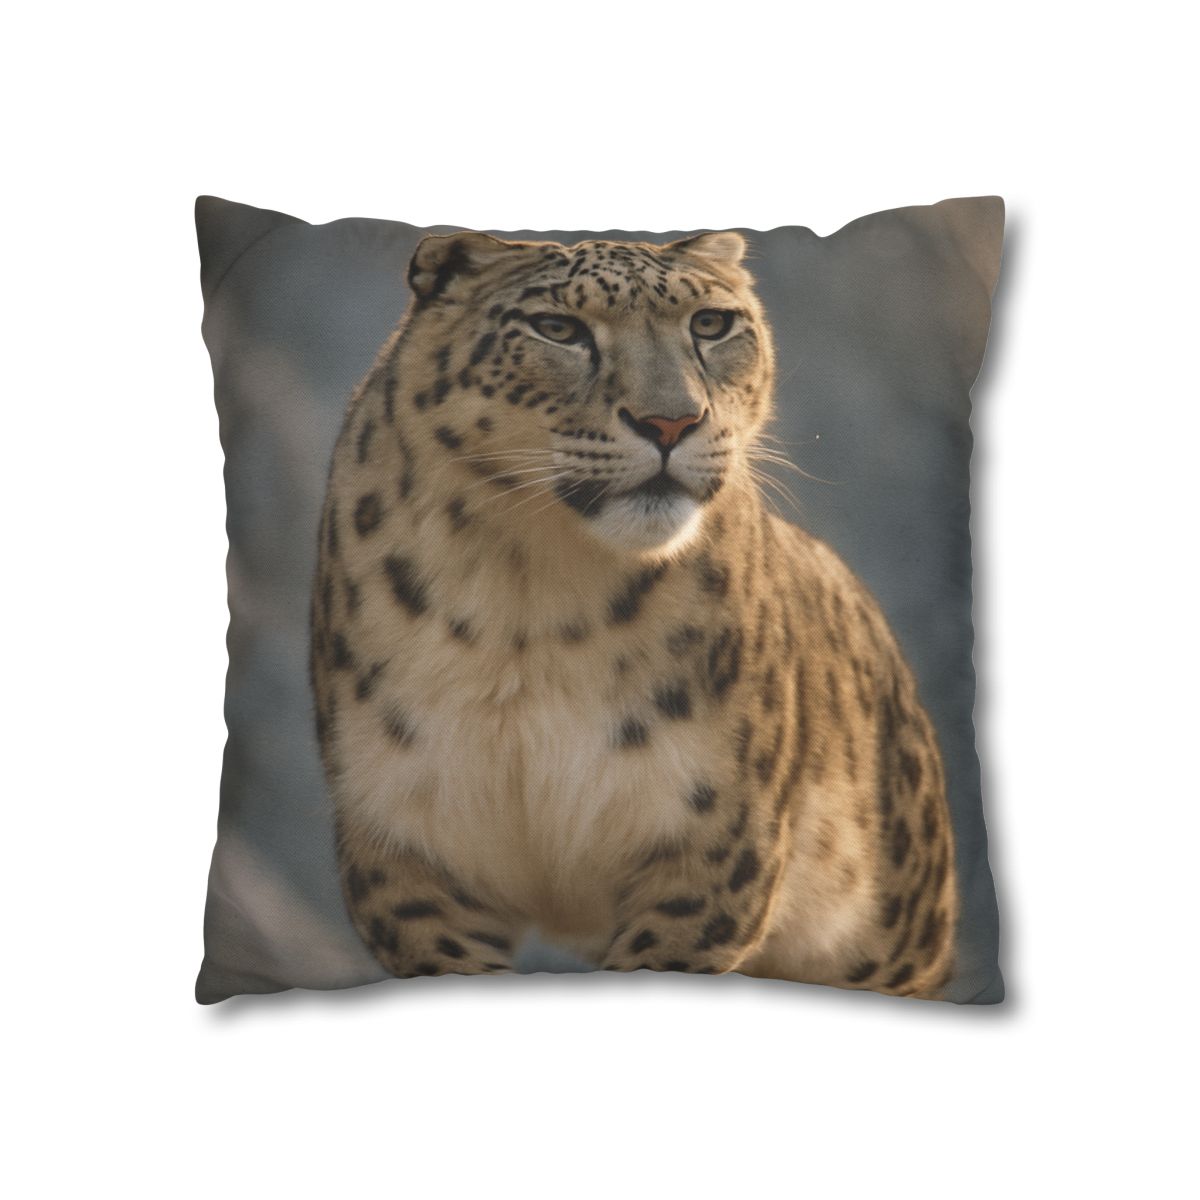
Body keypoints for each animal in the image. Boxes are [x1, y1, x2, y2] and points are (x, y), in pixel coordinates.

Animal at [310, 228, 957, 998]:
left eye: (710, 324)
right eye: (558, 328)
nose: (670, 421)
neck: (529, 593)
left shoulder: (711, 843)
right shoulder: (406, 846)